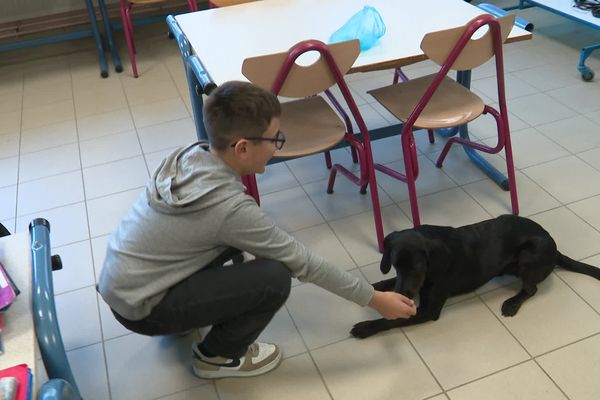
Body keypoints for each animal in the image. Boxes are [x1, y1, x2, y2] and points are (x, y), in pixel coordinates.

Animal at [350, 214, 600, 340]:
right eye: (394, 265)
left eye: (417, 267)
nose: (404, 293)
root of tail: (555, 248)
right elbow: (387, 282)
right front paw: (375, 287)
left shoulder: (428, 309)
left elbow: (392, 319)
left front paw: (366, 327)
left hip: (529, 256)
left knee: (532, 289)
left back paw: (512, 303)